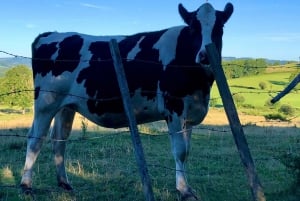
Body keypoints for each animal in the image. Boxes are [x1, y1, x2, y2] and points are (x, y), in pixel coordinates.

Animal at [20, 2, 232, 200]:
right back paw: (26, 186)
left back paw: (64, 183)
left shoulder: (189, 114)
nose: (204, 56)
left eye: (220, 28)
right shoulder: (174, 108)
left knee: (59, 139)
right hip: (46, 102)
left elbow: (186, 152)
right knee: (35, 139)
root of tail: (50, 34)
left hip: (66, 106)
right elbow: (180, 151)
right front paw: (184, 190)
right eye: (193, 28)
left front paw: (186, 187)